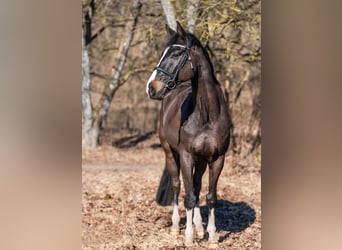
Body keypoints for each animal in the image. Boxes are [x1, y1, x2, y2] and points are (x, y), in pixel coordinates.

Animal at [146, 21, 231, 246]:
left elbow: (210, 197)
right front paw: (189, 237)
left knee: (196, 186)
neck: (207, 116)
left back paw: (200, 227)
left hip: (201, 160)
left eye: (176, 53)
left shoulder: (217, 158)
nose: (151, 88)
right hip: (170, 153)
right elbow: (189, 196)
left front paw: (211, 236)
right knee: (178, 186)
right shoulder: (186, 155)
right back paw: (177, 227)